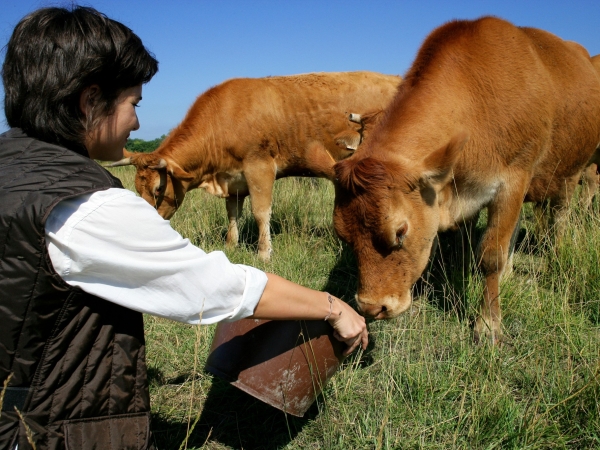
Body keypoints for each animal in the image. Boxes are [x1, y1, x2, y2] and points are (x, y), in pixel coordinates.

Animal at [112, 70, 404, 260]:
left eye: (159, 189)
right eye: (136, 189)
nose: (143, 230)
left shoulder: (259, 168)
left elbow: (261, 212)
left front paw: (264, 253)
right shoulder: (233, 179)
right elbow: (233, 213)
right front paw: (231, 245)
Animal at [330, 15, 600, 342]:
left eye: (400, 231)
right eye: (343, 234)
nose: (371, 307)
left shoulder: (513, 180)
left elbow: (491, 254)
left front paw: (488, 324)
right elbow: (461, 243)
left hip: (570, 172)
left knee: (559, 218)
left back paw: (555, 259)